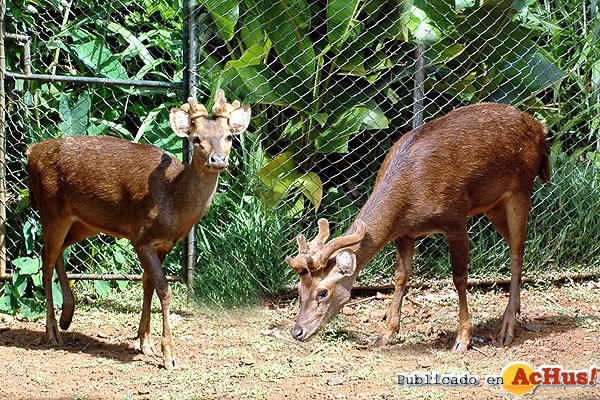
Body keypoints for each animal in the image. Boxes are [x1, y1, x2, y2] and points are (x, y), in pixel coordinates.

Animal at [25, 89, 250, 368]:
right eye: (197, 138)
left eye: (229, 136)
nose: (218, 159)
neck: (173, 205)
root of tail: (31, 151)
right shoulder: (141, 237)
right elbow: (164, 290)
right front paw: (169, 355)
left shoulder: (165, 244)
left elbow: (147, 284)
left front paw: (145, 342)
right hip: (51, 209)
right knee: (45, 261)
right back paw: (53, 332)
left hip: (83, 223)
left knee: (55, 253)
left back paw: (67, 315)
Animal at [286, 103, 548, 354]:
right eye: (299, 290)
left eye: (322, 292)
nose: (297, 331)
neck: (408, 200)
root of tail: (540, 128)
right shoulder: (405, 234)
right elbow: (401, 276)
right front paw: (385, 336)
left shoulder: (455, 217)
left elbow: (459, 277)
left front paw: (462, 339)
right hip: (493, 205)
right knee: (516, 246)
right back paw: (511, 313)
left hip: (521, 188)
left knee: (517, 250)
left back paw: (507, 329)